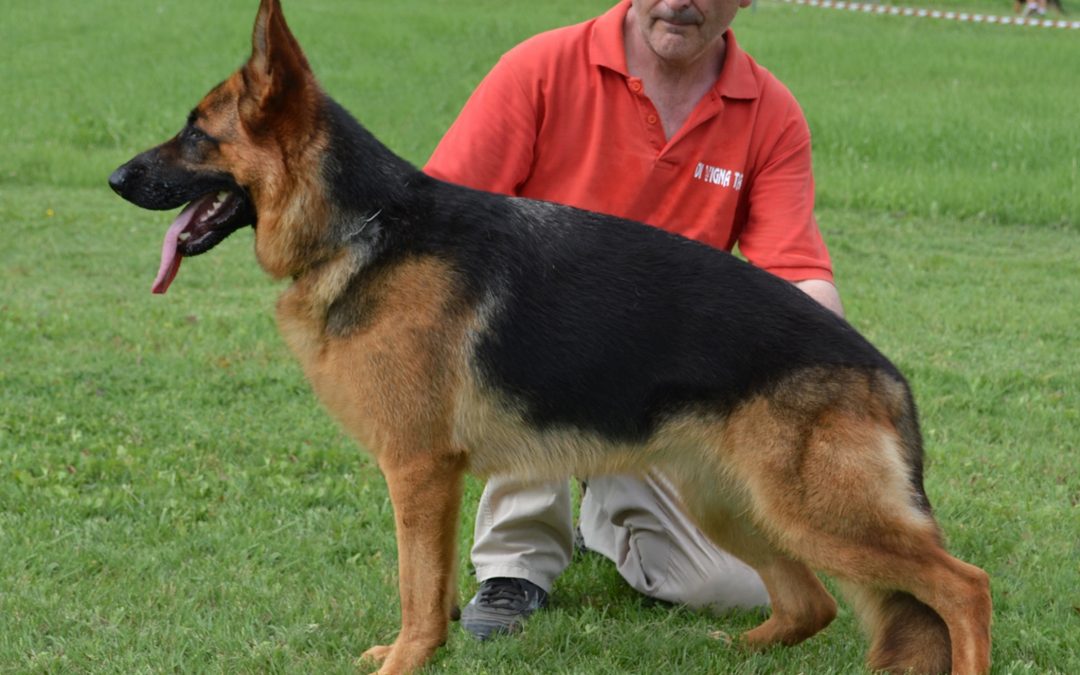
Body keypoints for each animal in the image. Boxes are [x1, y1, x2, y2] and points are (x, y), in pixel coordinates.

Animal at [107, 1, 989, 673]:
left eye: (195, 134)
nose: (114, 178)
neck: (364, 226)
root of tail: (886, 372)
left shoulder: (418, 470)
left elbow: (416, 586)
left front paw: (407, 659)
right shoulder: (431, 477)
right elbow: (428, 584)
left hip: (814, 512)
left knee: (963, 585)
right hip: (737, 505)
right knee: (813, 604)